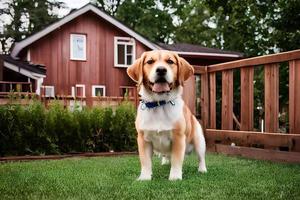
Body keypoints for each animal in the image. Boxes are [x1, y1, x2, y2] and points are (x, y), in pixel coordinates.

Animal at [126, 49, 206, 180]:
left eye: (170, 61)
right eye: (150, 61)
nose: (161, 70)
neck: (159, 104)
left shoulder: (178, 138)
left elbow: (177, 160)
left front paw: (175, 177)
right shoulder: (143, 139)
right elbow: (145, 162)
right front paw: (145, 177)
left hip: (199, 141)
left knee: (201, 158)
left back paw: (202, 170)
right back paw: (165, 162)